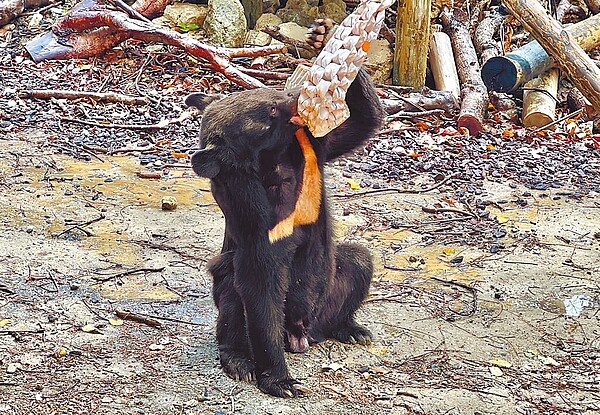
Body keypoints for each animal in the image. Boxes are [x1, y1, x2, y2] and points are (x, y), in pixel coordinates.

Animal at [188, 64, 384, 396]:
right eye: (270, 110)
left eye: (272, 92)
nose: (295, 94)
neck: (275, 161)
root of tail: (301, 335)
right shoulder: (249, 211)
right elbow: (261, 283)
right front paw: (282, 382)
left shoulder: (314, 147)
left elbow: (360, 122)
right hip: (235, 283)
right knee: (233, 300)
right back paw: (240, 362)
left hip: (332, 290)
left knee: (358, 262)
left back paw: (353, 329)